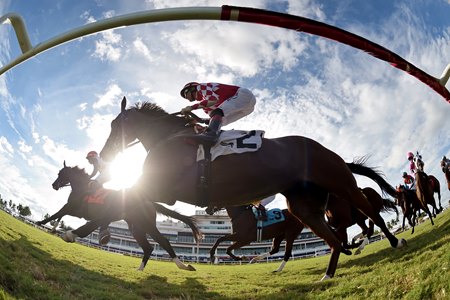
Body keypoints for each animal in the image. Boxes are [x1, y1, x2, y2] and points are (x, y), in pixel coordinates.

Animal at [37, 162, 200, 272]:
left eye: (61, 173)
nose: (54, 185)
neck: (83, 188)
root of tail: (150, 202)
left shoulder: (73, 208)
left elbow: (58, 213)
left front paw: (41, 222)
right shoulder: (77, 211)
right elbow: (60, 215)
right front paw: (52, 227)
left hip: (146, 225)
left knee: (163, 241)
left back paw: (182, 265)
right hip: (136, 228)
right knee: (148, 247)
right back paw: (140, 270)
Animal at [75, 98, 406, 282]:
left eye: (115, 125)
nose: (102, 154)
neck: (171, 140)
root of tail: (329, 151)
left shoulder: (161, 187)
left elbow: (124, 201)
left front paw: (83, 231)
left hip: (342, 184)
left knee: (370, 212)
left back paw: (392, 240)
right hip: (304, 208)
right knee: (334, 238)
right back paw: (327, 273)